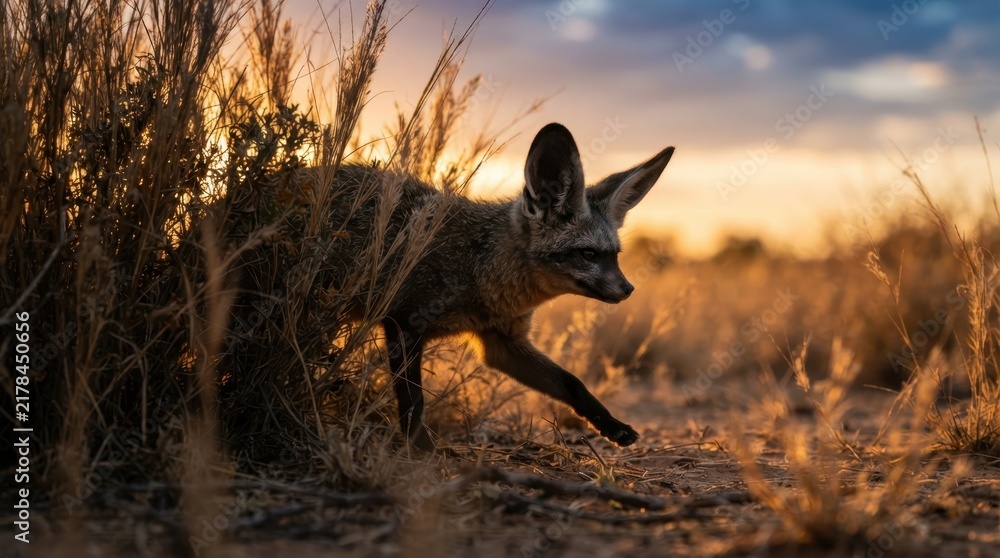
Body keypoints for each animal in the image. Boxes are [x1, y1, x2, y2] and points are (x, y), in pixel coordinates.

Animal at [332, 122, 674, 451]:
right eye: (589, 254)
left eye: (615, 256)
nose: (628, 289)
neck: (478, 267)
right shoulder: (404, 324)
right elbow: (413, 399)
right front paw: (425, 450)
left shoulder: (503, 343)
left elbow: (572, 383)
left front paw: (612, 426)